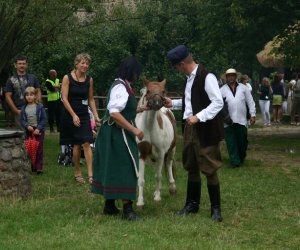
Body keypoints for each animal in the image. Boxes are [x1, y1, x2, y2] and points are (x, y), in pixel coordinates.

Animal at [135, 78, 177, 207]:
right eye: (148, 91)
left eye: (163, 91)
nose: (157, 104)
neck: (149, 127)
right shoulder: (142, 154)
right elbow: (141, 179)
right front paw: (140, 202)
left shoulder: (161, 154)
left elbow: (158, 176)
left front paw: (157, 198)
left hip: (171, 150)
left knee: (168, 164)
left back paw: (172, 188)